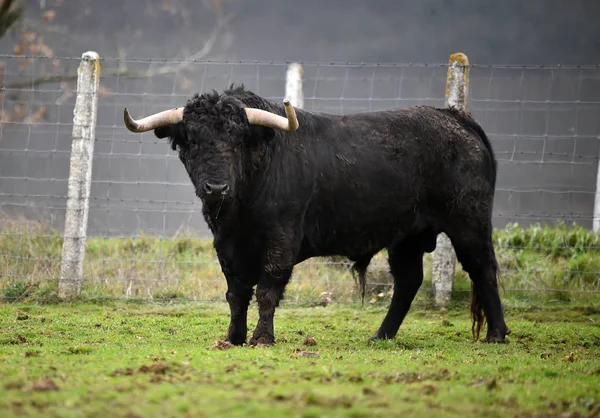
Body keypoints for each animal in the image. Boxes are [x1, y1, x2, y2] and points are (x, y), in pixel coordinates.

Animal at [122, 85, 510, 346]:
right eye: (191, 141)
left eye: (238, 140)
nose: (216, 187)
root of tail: (454, 118)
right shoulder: (227, 245)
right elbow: (236, 293)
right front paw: (233, 337)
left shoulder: (282, 237)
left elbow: (267, 289)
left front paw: (261, 338)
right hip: (407, 236)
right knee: (408, 281)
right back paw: (380, 336)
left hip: (469, 222)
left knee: (483, 269)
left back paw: (496, 334)